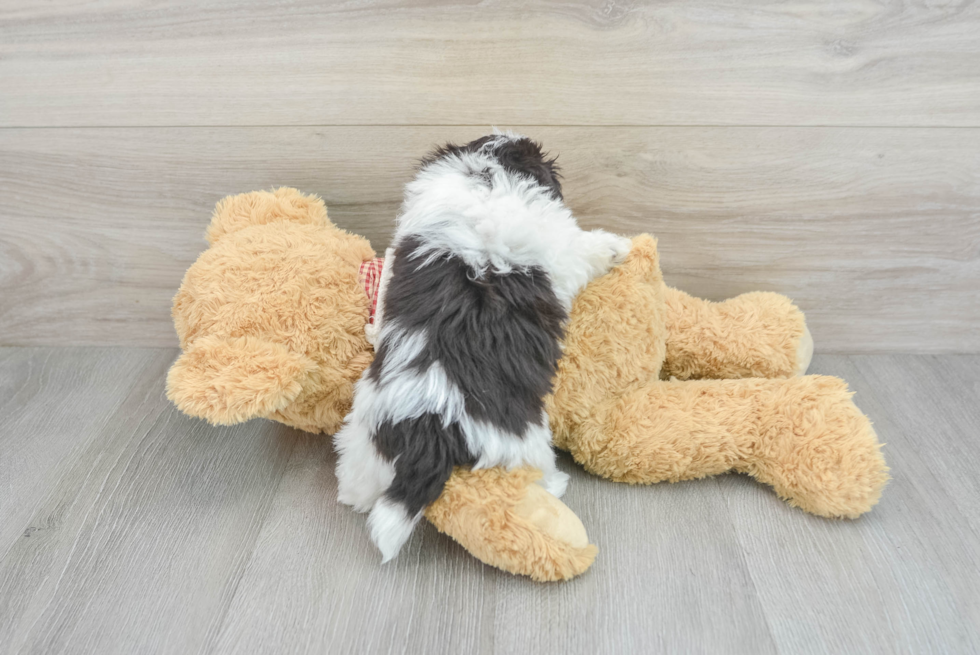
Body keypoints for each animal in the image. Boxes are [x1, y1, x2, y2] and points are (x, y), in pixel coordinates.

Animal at [334, 135, 632, 564]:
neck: (485, 176)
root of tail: (430, 424)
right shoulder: (562, 250)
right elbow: (584, 249)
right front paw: (615, 246)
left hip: (366, 441)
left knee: (360, 482)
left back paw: (354, 496)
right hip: (520, 448)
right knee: (535, 477)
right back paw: (554, 489)